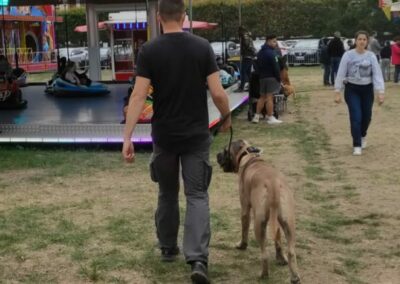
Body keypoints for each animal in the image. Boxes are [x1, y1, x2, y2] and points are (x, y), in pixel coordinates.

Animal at [216, 140, 300, 284]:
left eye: (225, 150)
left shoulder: (245, 209)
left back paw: (263, 274)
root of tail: (273, 184)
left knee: (264, 254)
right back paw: (293, 276)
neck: (249, 156)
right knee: (290, 251)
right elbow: (278, 239)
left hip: (259, 223)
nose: (217, 155)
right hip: (288, 223)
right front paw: (280, 257)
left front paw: (241, 245)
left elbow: (244, 230)